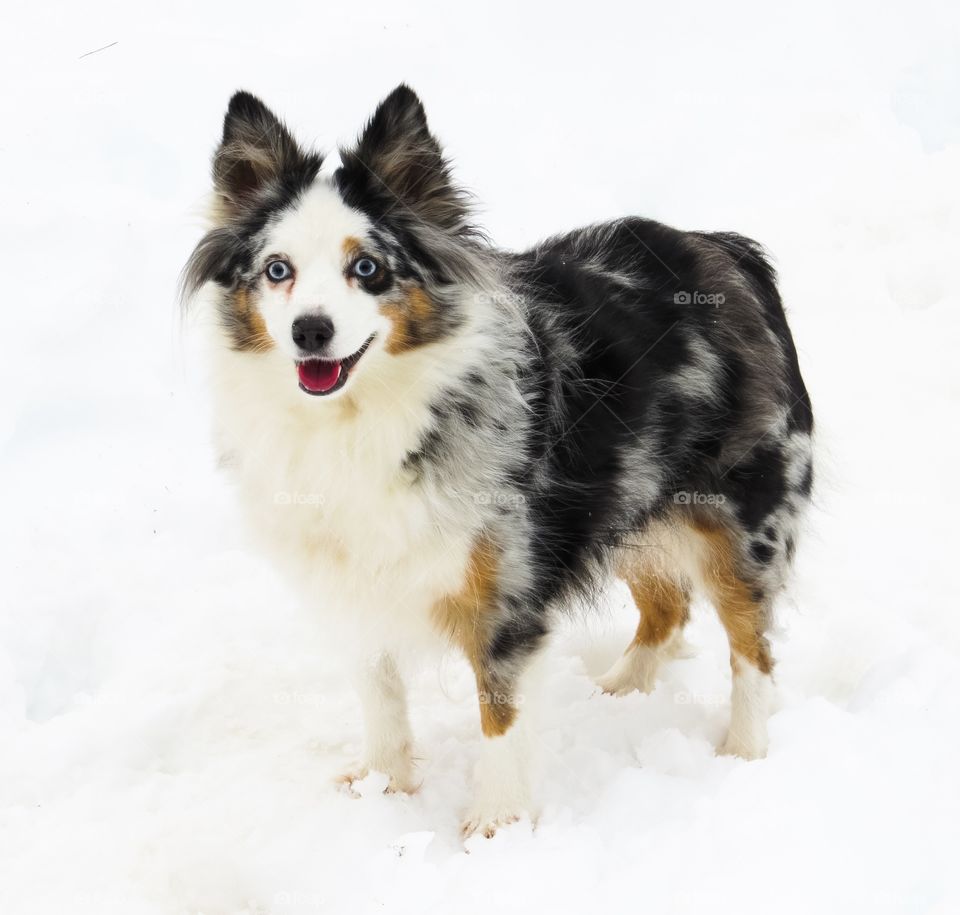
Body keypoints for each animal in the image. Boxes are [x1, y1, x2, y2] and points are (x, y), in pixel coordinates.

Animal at [180, 84, 808, 836]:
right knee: (668, 602)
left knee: (753, 644)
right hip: (625, 495)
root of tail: (727, 251)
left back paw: (744, 750)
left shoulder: (509, 588)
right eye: (278, 271)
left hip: (743, 519)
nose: (311, 331)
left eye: (368, 268)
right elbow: (378, 693)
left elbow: (501, 718)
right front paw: (383, 786)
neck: (363, 416)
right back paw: (621, 689)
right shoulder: (352, 578)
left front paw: (495, 828)